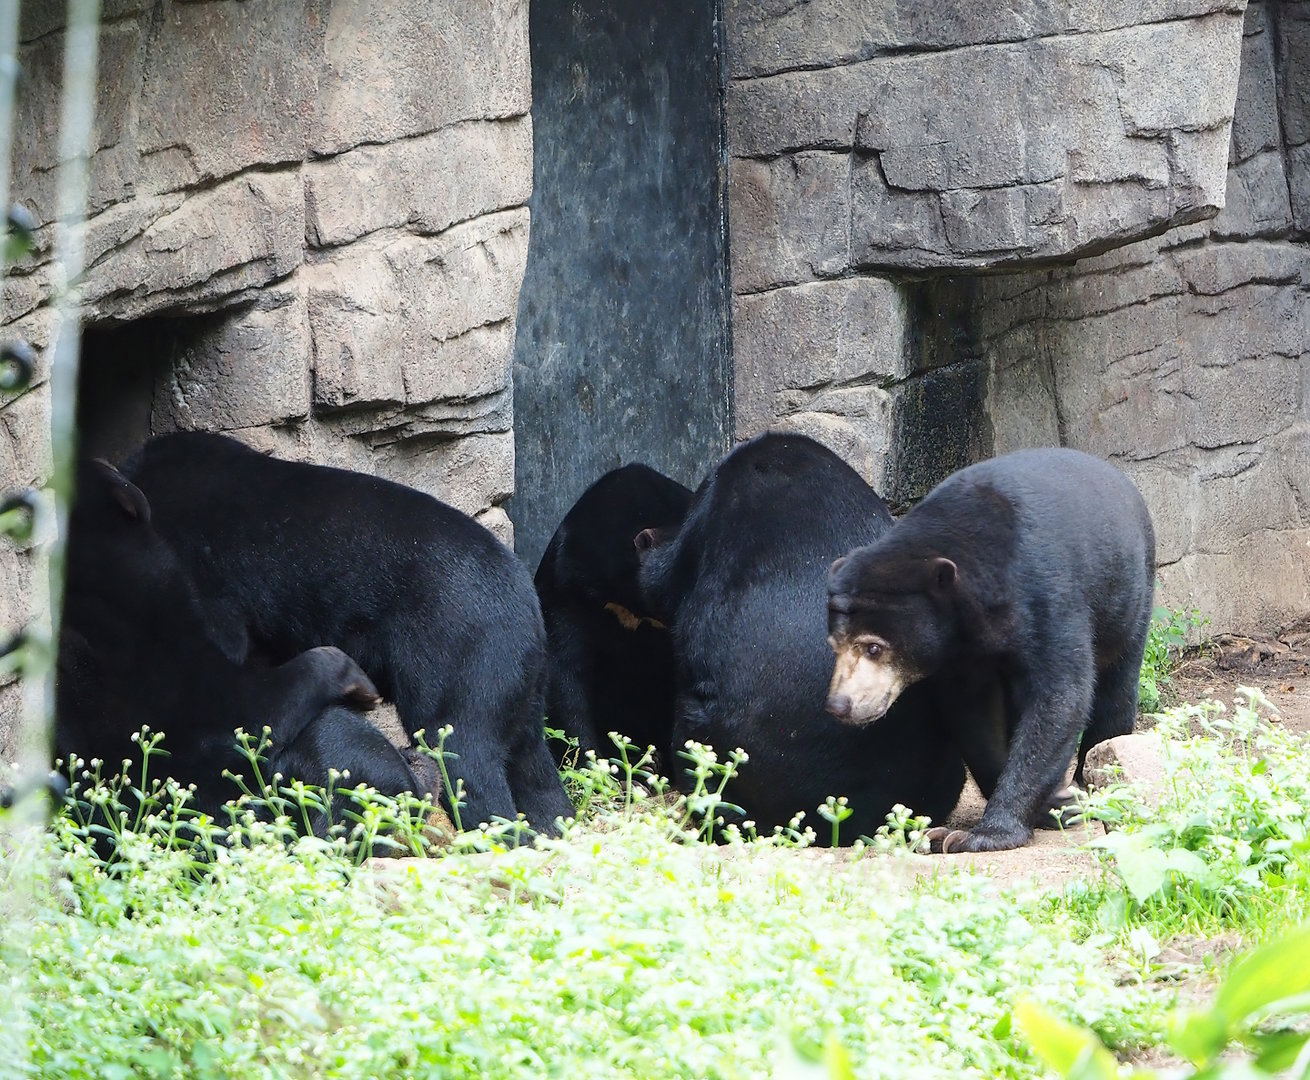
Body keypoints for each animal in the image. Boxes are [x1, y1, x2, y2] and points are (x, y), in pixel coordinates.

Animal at [123, 431, 575, 835]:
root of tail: (527, 606)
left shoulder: (208, 579)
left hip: (463, 654)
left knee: (466, 759)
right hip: (519, 687)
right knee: (534, 771)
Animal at [825, 446, 1156, 854]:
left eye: (873, 647)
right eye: (834, 646)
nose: (840, 705)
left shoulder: (1047, 597)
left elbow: (1060, 697)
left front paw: (988, 833)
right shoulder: (960, 655)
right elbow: (974, 714)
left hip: (1128, 596)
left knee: (1116, 690)